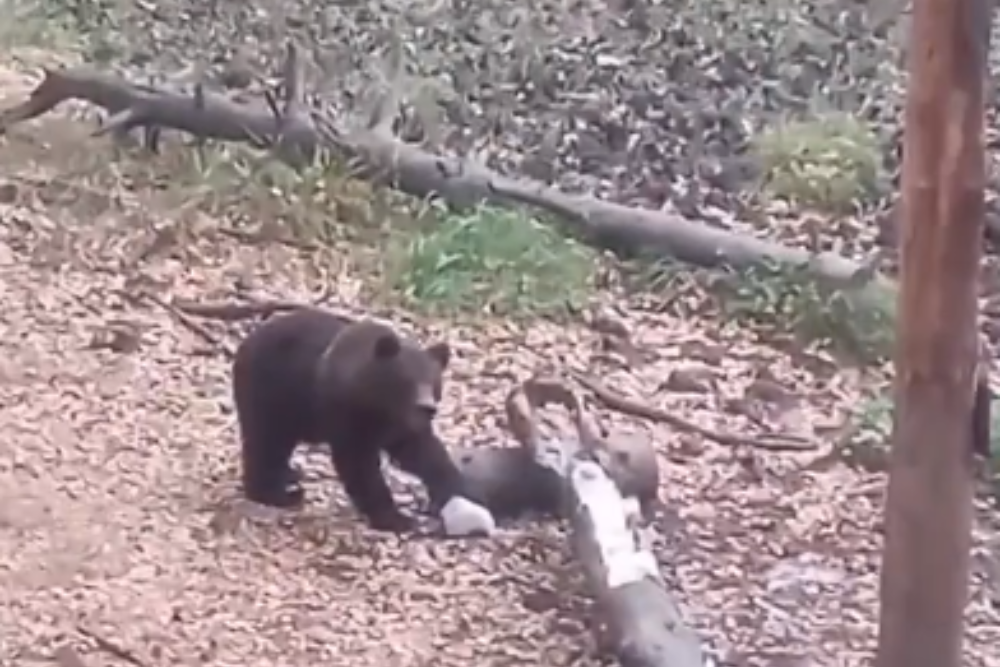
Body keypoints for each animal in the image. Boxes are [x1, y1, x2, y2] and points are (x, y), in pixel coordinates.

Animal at [231, 307, 495, 536]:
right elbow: (359, 464)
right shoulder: (348, 416)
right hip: (272, 394)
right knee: (266, 441)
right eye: (407, 380)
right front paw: (396, 518)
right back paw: (276, 493)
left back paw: (290, 474)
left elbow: (423, 452)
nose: (427, 407)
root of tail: (246, 342)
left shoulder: (402, 425)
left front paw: (455, 490)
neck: (379, 405)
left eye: (434, 381)